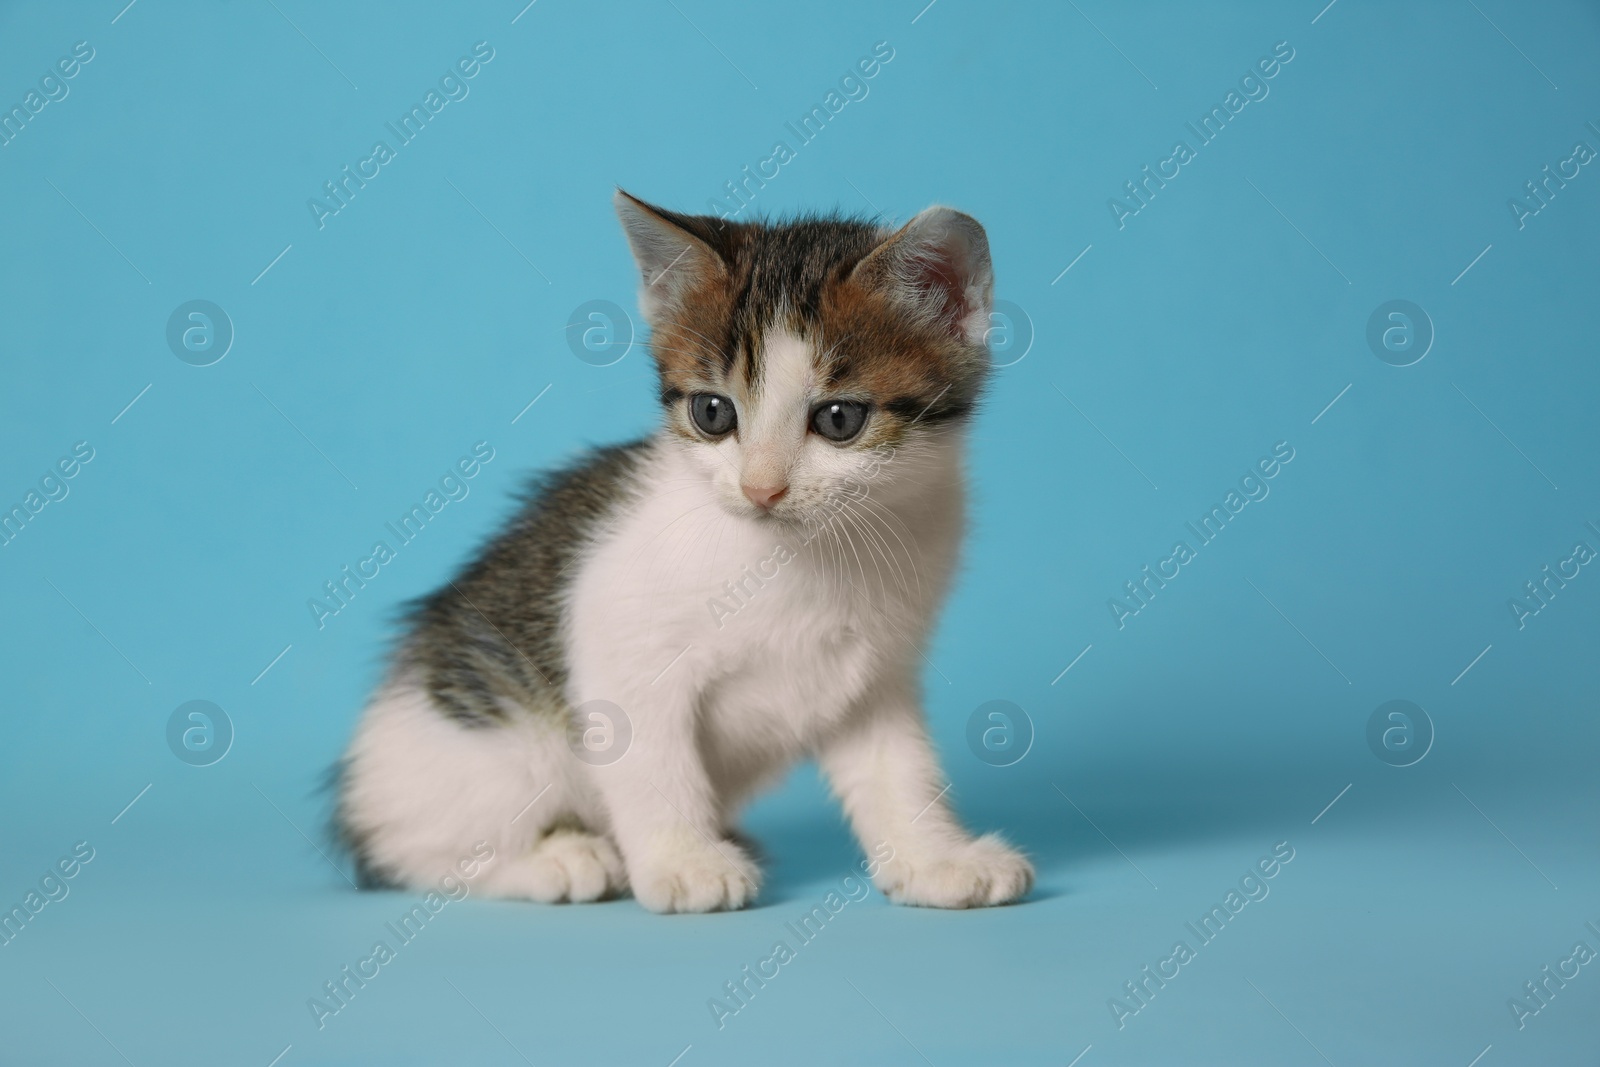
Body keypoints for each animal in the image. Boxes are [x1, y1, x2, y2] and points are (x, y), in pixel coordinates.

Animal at [339, 189, 1036, 908]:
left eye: (840, 419)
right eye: (712, 412)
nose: (761, 488)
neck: (797, 555)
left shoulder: (876, 674)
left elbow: (899, 766)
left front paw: (935, 856)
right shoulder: (617, 636)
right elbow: (653, 760)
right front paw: (685, 861)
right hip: (488, 757)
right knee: (420, 855)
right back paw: (559, 858)